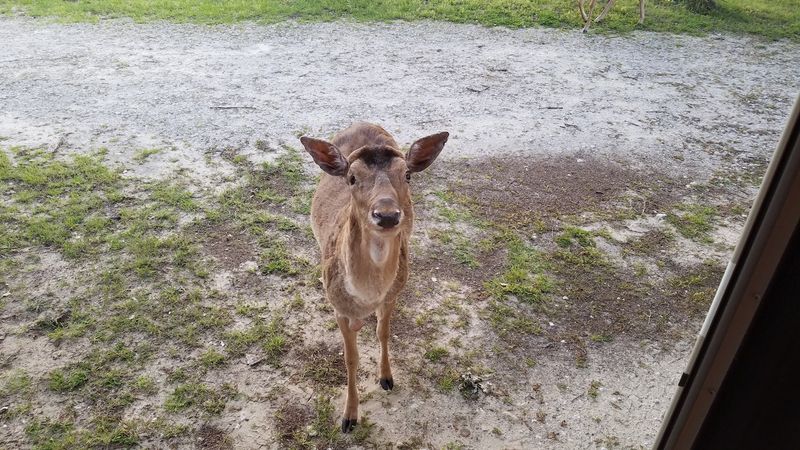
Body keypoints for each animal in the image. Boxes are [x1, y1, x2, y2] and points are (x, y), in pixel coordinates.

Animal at [300, 122, 449, 433]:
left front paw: (387, 378)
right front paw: (349, 418)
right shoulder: (339, 308)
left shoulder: (393, 294)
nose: (387, 215)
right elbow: (350, 358)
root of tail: (362, 123)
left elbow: (383, 332)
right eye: (352, 177)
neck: (368, 294)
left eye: (407, 175)